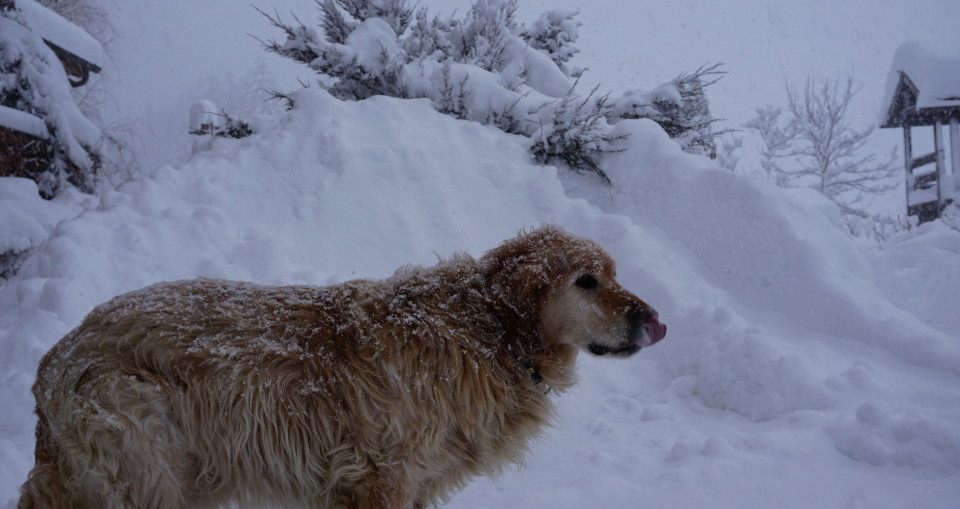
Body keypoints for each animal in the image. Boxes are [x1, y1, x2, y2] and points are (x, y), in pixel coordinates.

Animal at [18, 225, 664, 508]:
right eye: (587, 282)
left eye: (615, 273)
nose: (657, 322)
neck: (487, 331)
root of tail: (56, 357)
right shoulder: (378, 476)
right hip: (150, 470)